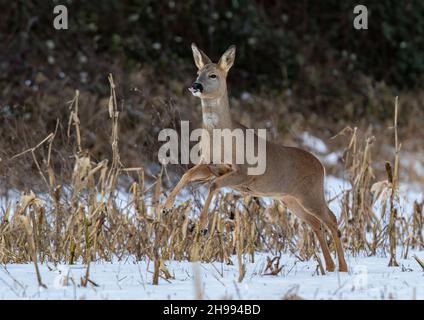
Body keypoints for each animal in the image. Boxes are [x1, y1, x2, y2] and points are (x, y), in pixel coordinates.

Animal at [162, 42, 348, 272]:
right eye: (198, 72)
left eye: (213, 75)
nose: (195, 85)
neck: (221, 139)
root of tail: (321, 166)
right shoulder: (211, 165)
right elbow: (187, 175)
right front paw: (165, 209)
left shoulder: (243, 172)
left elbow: (213, 185)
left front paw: (203, 227)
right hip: (290, 198)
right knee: (315, 223)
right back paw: (330, 267)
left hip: (311, 193)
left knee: (331, 218)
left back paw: (342, 267)